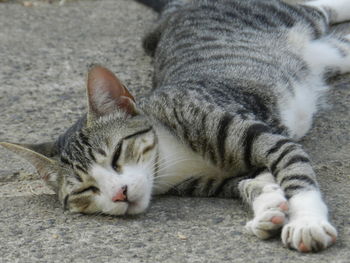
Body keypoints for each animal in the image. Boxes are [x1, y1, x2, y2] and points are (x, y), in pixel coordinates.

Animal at [1, 0, 348, 254]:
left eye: (116, 154)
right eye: (85, 190)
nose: (119, 194)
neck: (170, 157)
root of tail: (175, 8)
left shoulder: (266, 137)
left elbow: (295, 172)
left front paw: (305, 221)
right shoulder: (206, 182)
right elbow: (252, 181)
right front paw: (268, 208)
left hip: (291, 17)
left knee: (316, 8)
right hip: (334, 54)